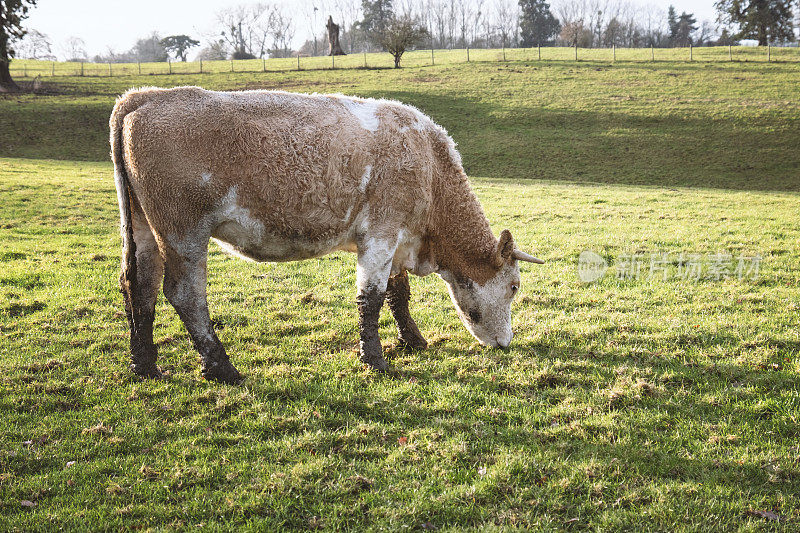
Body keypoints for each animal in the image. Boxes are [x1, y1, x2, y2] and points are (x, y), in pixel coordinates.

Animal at [111, 87, 544, 384]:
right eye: (515, 287)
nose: (506, 343)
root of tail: (143, 97)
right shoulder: (382, 234)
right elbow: (371, 298)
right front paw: (375, 360)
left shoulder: (395, 242)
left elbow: (397, 293)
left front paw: (413, 341)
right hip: (182, 230)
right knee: (184, 294)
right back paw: (221, 367)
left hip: (143, 228)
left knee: (139, 286)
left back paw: (145, 365)